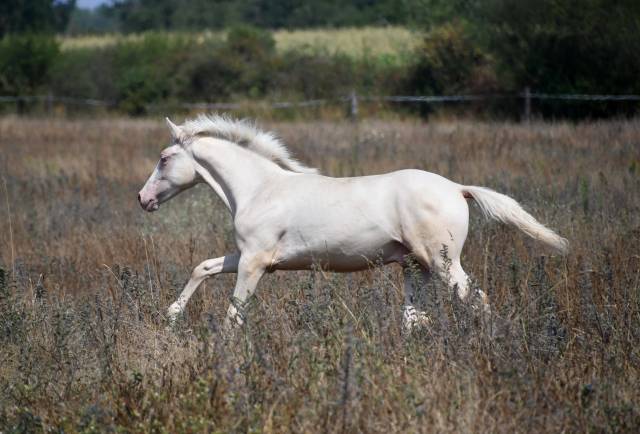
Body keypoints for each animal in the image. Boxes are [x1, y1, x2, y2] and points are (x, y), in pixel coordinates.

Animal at [138, 115, 568, 332]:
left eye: (163, 158)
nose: (143, 200)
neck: (260, 189)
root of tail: (458, 189)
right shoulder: (249, 256)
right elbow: (204, 267)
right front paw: (171, 315)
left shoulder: (254, 262)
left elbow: (235, 312)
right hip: (416, 267)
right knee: (414, 319)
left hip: (444, 262)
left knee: (475, 299)